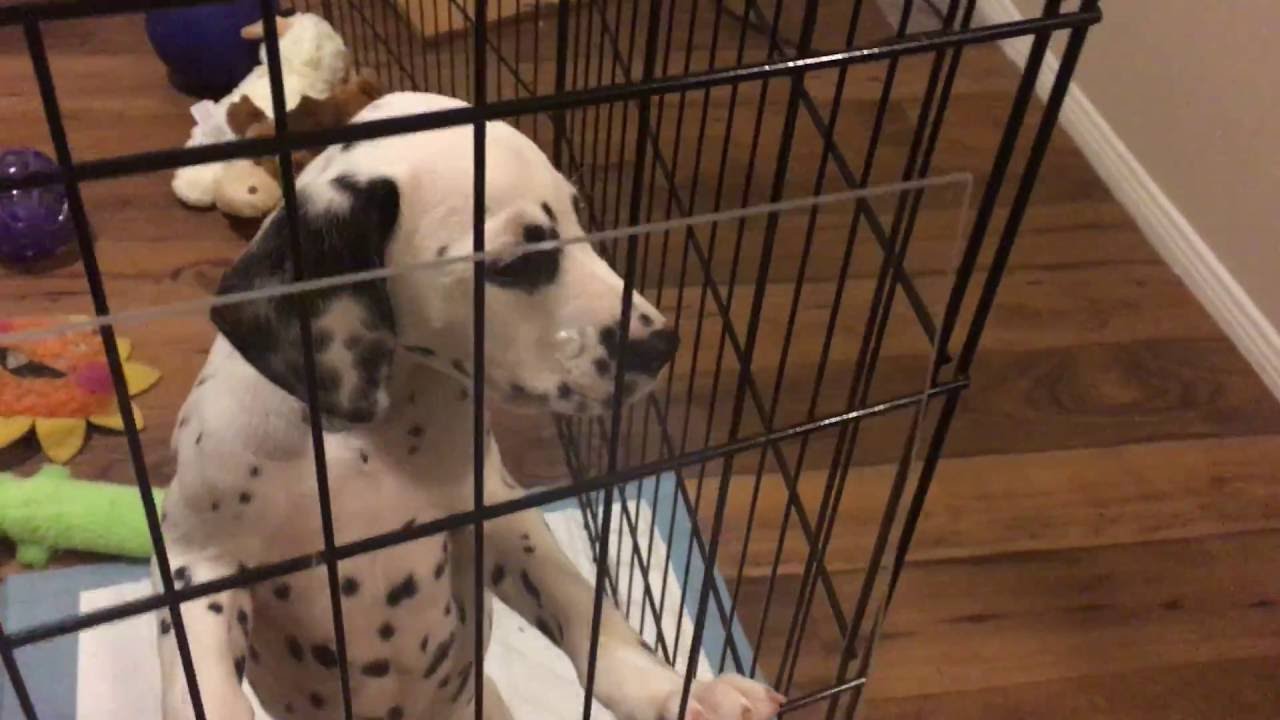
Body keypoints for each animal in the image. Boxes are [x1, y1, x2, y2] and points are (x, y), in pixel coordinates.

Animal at [153, 90, 783, 717]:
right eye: (516, 262)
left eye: (579, 216)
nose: (662, 345)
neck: (362, 444)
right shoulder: (200, 567)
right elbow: (202, 687)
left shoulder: (494, 510)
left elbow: (582, 605)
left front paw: (678, 690)